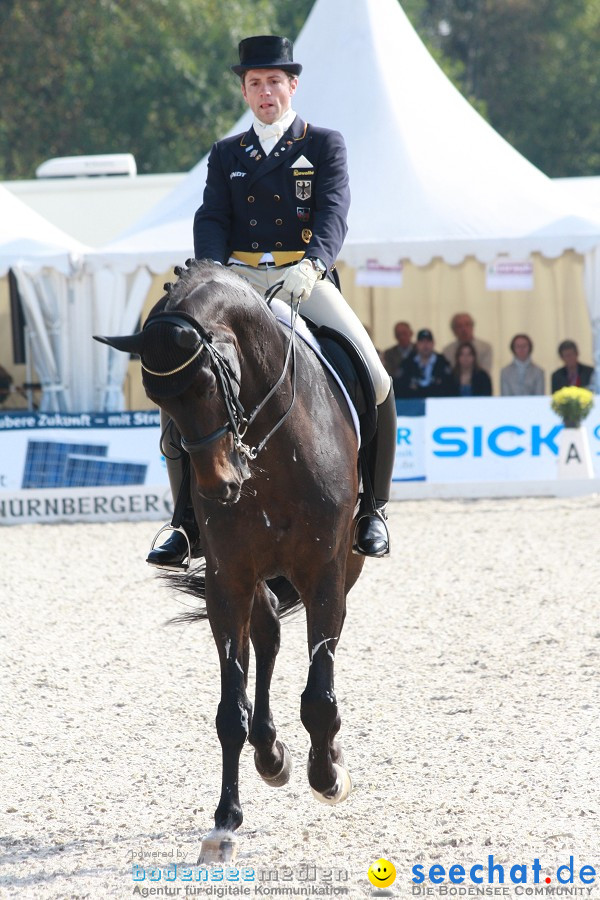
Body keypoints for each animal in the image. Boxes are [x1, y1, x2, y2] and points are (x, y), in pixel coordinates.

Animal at [96, 258, 364, 856]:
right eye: (157, 400)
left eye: (208, 383)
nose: (220, 488)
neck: (269, 447)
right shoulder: (228, 579)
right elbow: (228, 710)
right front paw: (225, 818)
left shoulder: (324, 572)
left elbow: (320, 691)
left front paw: (327, 775)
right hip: (255, 578)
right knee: (267, 634)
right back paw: (270, 752)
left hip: (344, 566)